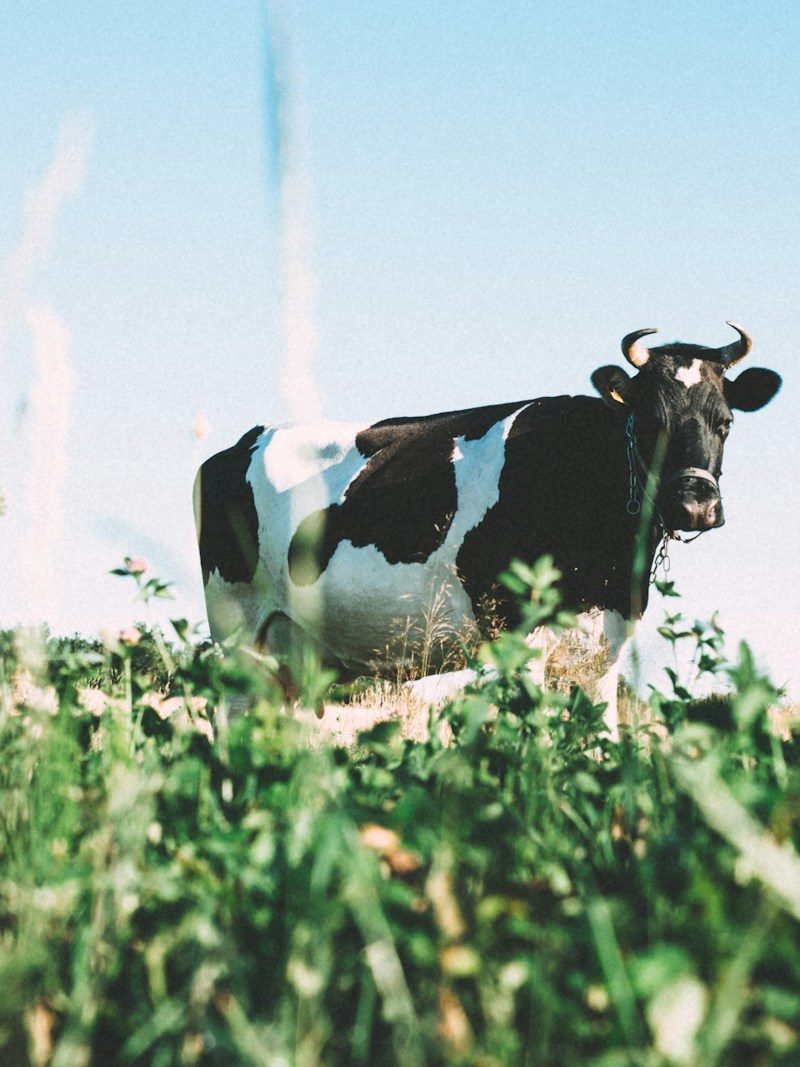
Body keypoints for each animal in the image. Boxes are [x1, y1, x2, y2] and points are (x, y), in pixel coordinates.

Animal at [194, 323, 780, 733]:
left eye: (725, 421)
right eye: (652, 420)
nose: (695, 505)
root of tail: (238, 444)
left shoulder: (606, 646)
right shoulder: (519, 633)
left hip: (293, 654)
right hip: (238, 630)